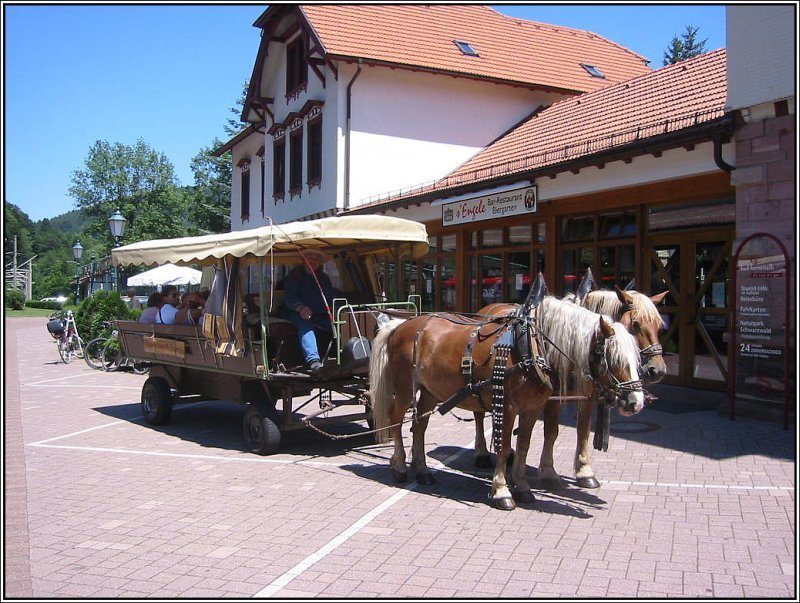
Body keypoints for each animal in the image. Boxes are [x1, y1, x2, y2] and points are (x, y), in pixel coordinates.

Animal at [478, 288, 664, 490]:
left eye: (658, 327)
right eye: (636, 324)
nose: (658, 370)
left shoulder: (588, 397)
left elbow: (583, 430)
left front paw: (584, 471)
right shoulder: (553, 398)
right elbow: (552, 431)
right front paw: (548, 471)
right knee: (479, 415)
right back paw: (481, 453)